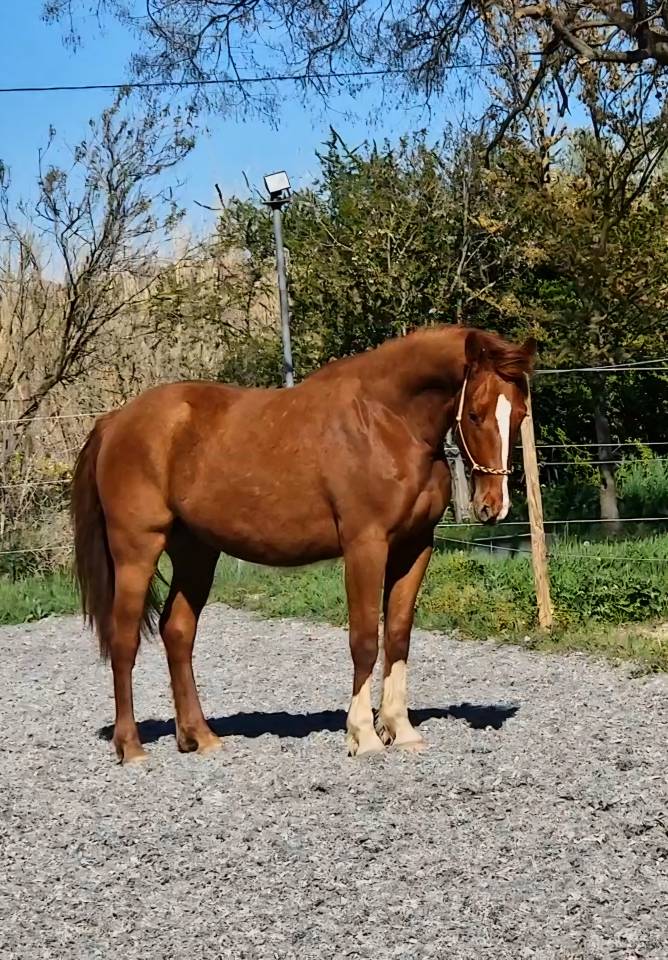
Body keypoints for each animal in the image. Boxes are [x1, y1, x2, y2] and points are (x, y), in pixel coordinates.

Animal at [71, 324, 536, 764]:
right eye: (474, 413)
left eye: (519, 414)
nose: (492, 506)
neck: (386, 421)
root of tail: (116, 420)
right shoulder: (365, 545)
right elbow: (364, 639)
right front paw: (364, 737)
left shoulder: (414, 547)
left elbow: (398, 635)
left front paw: (401, 731)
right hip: (137, 552)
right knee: (124, 641)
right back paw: (131, 747)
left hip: (196, 553)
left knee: (178, 632)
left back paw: (200, 737)